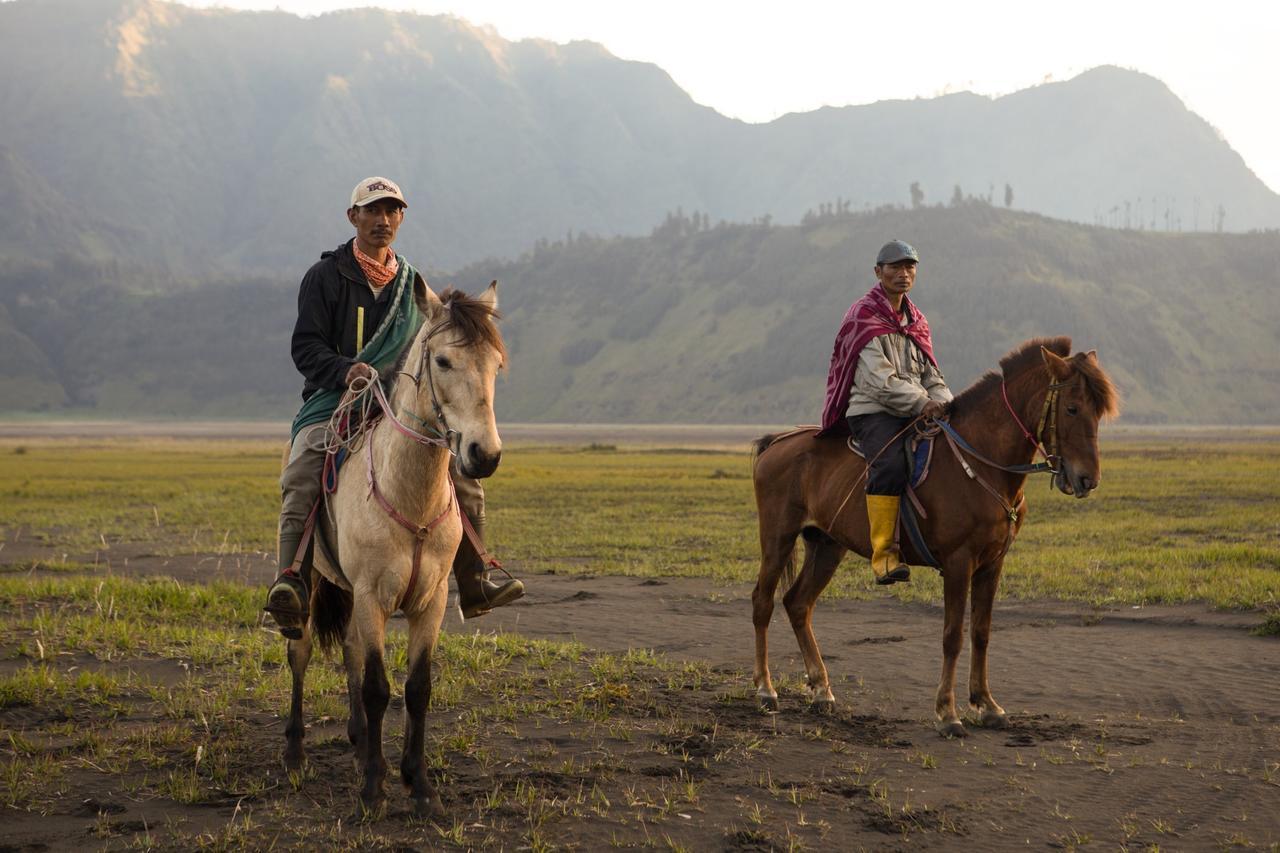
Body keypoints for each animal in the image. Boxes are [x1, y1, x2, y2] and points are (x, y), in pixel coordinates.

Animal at [285, 279, 504, 819]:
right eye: (443, 361)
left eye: (497, 363)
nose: (484, 455)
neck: (410, 494)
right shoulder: (371, 596)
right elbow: (378, 687)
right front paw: (373, 790)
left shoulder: (431, 602)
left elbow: (417, 688)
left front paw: (419, 784)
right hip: (312, 582)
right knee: (302, 652)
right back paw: (296, 753)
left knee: (349, 650)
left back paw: (361, 742)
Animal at [747, 335, 1121, 732]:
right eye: (1072, 409)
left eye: (1098, 412)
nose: (1087, 479)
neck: (983, 462)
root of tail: (778, 442)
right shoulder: (958, 562)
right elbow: (952, 635)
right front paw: (947, 712)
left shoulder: (993, 563)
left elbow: (981, 632)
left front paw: (987, 704)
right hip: (778, 538)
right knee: (763, 602)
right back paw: (766, 690)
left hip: (827, 546)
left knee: (798, 604)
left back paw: (821, 690)